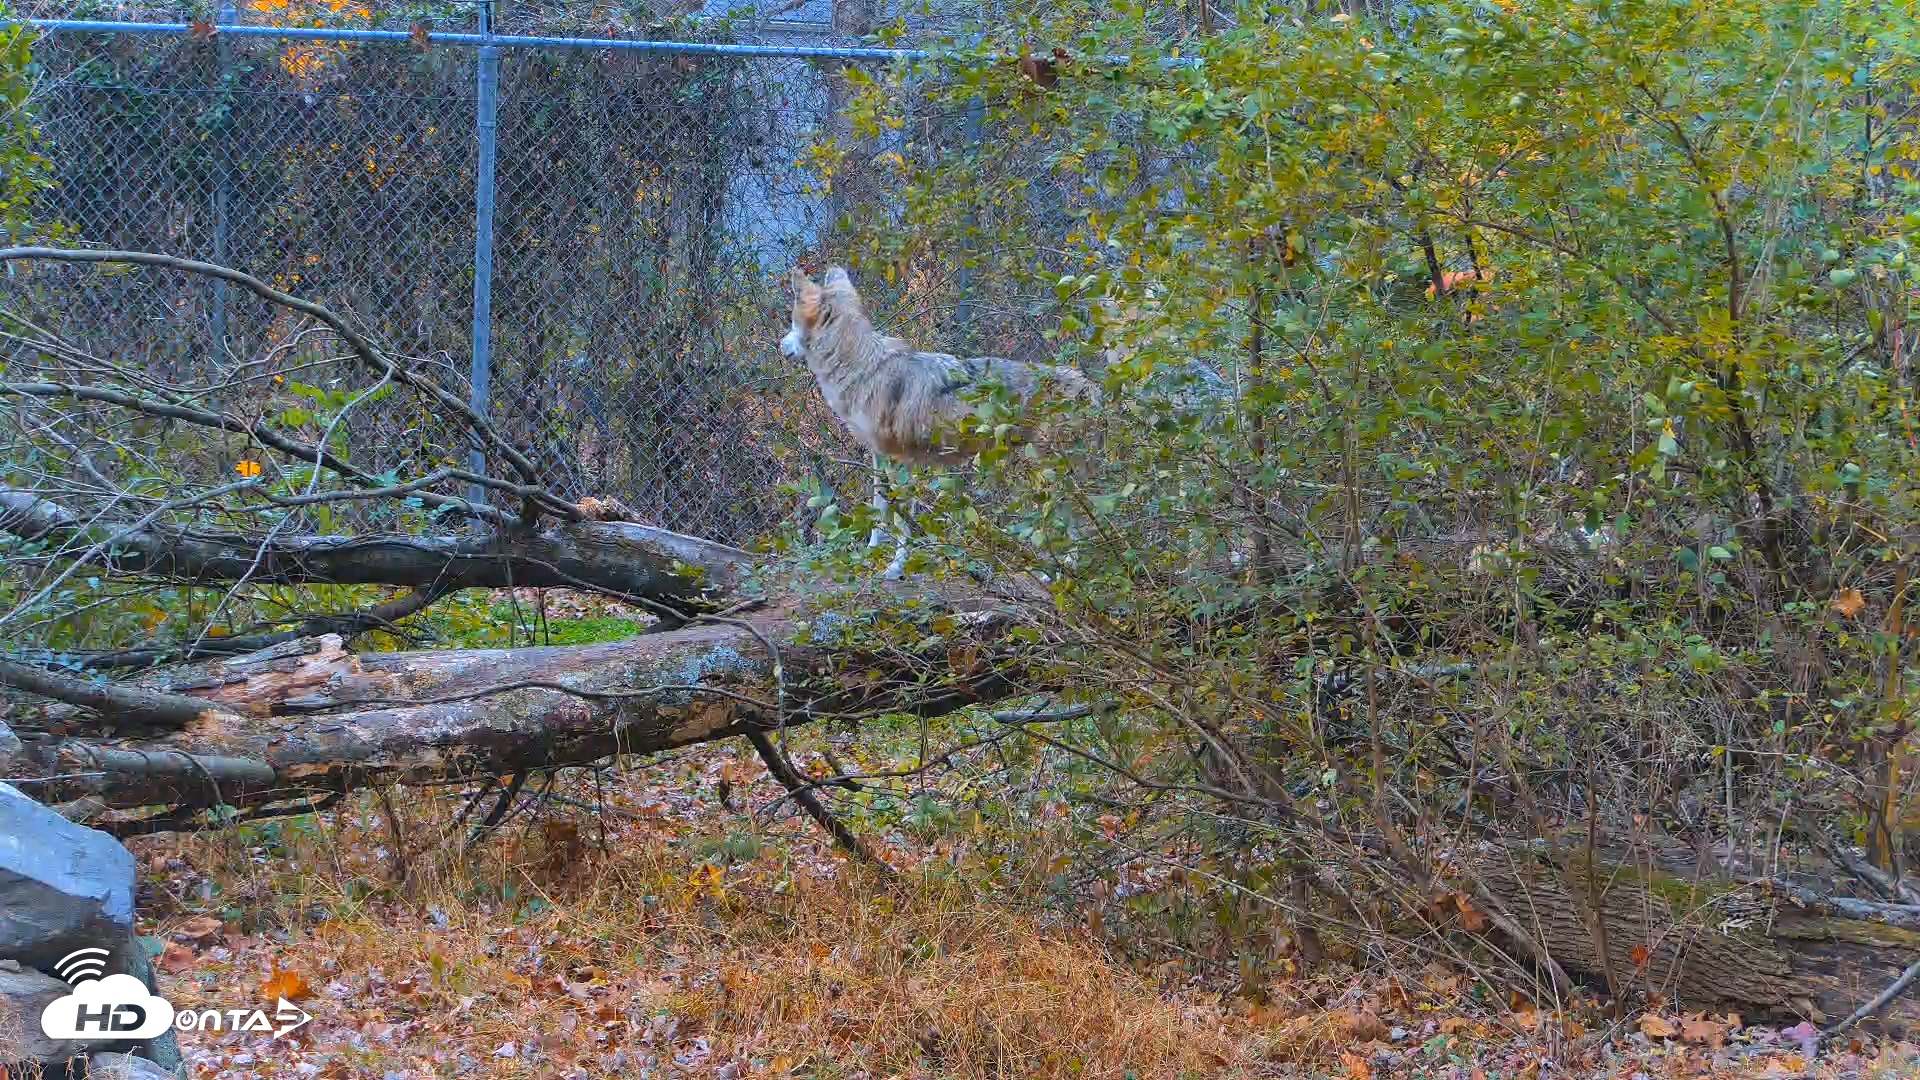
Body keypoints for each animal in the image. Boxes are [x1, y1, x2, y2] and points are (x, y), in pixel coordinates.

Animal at [780, 265, 1099, 577]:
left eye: (792, 323)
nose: (780, 345)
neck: (865, 370)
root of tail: (1087, 382)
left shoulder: (899, 461)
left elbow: (901, 521)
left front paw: (896, 567)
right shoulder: (880, 458)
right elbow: (879, 511)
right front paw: (871, 554)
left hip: (1055, 474)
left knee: (1083, 523)